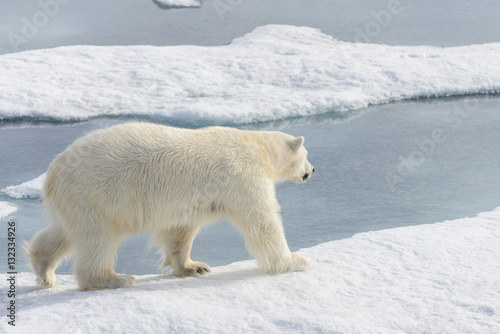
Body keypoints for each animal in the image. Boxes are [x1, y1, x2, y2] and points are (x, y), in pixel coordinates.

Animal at [26, 122, 312, 290]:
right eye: (307, 155)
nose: (312, 171)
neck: (258, 147)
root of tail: (53, 173)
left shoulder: (191, 199)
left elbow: (179, 230)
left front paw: (194, 267)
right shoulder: (242, 176)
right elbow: (262, 221)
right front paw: (296, 261)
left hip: (76, 201)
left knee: (64, 232)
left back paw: (44, 270)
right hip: (96, 193)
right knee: (99, 239)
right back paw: (114, 279)